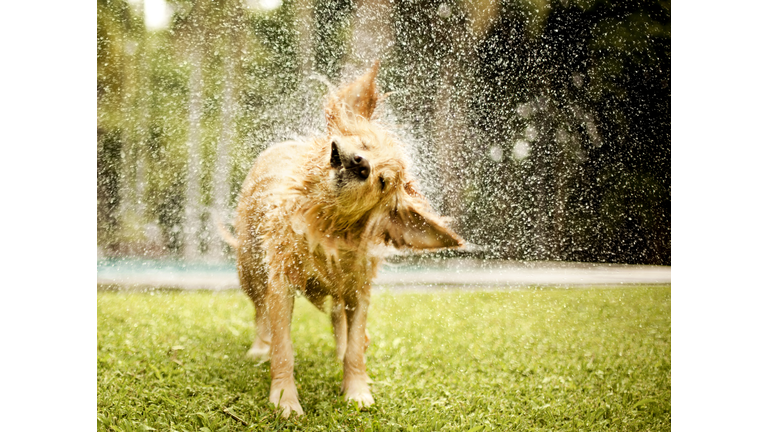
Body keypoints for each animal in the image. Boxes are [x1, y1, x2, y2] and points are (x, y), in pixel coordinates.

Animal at [228, 62, 462, 416]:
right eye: (363, 145)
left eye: (382, 181)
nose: (360, 164)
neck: (325, 224)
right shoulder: (281, 282)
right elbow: (283, 348)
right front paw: (285, 399)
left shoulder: (360, 285)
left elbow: (354, 347)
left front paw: (357, 390)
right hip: (251, 267)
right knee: (259, 311)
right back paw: (259, 347)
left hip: (341, 286)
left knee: (341, 318)